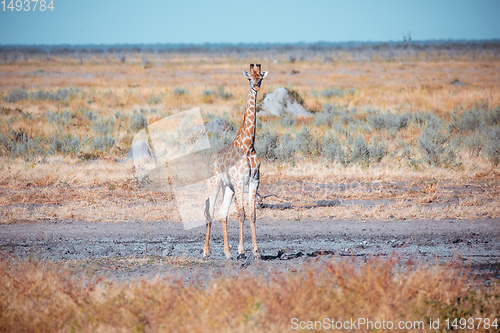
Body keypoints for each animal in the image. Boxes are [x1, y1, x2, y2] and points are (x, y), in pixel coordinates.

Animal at [202, 63, 268, 260]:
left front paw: (256, 251)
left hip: (228, 188)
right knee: (210, 212)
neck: (248, 145)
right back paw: (206, 251)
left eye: (261, 78)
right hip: (215, 183)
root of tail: (213, 160)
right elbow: (241, 214)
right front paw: (242, 250)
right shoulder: (240, 182)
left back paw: (227, 252)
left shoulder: (254, 181)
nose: (256, 87)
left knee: (222, 213)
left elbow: (252, 214)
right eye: (249, 78)